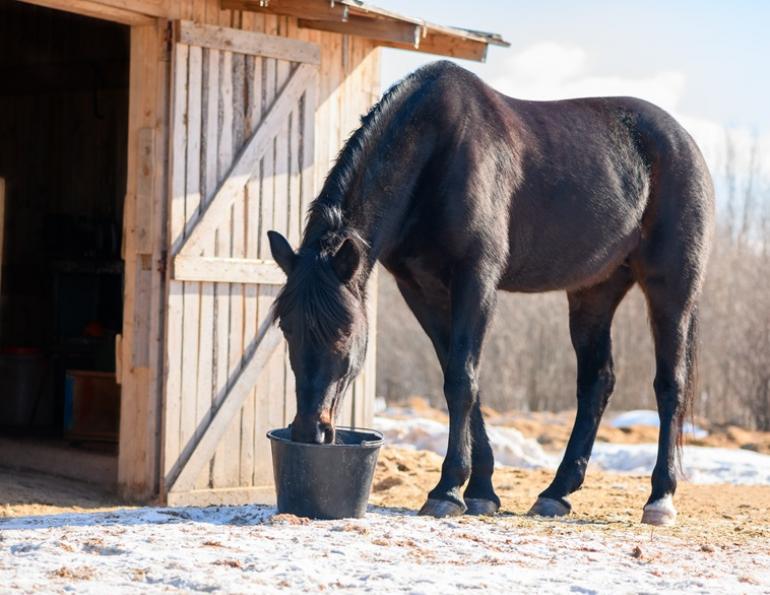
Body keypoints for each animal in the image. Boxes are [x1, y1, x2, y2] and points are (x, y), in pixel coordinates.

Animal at [267, 60, 714, 526]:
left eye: (344, 332)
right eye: (286, 329)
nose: (309, 431)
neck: (436, 152)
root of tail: (683, 142)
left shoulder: (476, 279)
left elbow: (461, 380)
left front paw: (447, 491)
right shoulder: (421, 290)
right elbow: (464, 380)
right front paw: (480, 490)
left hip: (671, 288)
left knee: (670, 384)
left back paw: (660, 498)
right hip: (594, 291)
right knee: (597, 381)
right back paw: (556, 493)